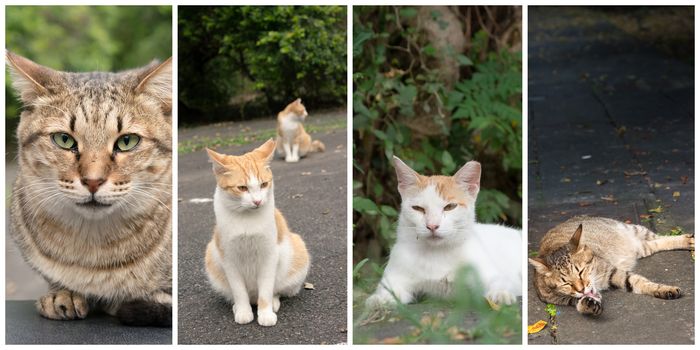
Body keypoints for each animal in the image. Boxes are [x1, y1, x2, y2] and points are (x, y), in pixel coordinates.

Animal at [204, 140, 310, 328]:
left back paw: (272, 303)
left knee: (275, 291)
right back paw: (238, 307)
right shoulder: (229, 259)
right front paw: (243, 312)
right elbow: (239, 291)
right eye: (242, 188)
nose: (258, 201)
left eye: (264, 184)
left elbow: (266, 290)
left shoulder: (269, 256)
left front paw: (266, 314)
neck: (247, 220)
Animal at [366, 157, 520, 308]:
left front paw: (501, 294)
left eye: (450, 207)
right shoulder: (395, 278)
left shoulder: (490, 274)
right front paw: (379, 300)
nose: (432, 226)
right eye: (418, 208)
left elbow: (499, 282)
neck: (437, 253)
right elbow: (387, 291)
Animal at [532, 217, 696, 316]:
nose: (581, 289)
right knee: (655, 244)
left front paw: (664, 289)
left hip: (635, 229)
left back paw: (687, 240)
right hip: (642, 248)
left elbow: (640, 282)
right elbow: (579, 303)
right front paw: (588, 304)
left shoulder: (612, 271)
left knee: (661, 237)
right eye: (566, 283)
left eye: (581, 272)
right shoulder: (563, 300)